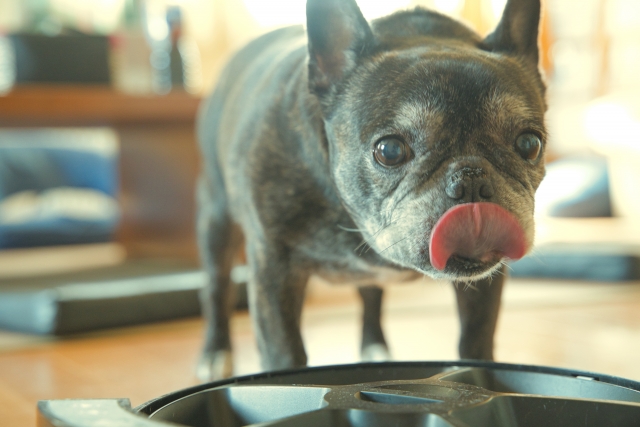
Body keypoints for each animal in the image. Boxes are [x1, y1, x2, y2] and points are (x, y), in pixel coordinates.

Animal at [195, 0, 544, 382]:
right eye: (389, 150)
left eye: (530, 144)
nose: (471, 178)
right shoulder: (273, 267)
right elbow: (283, 351)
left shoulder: (483, 285)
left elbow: (476, 338)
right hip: (216, 221)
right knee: (216, 288)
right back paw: (215, 351)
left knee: (371, 293)